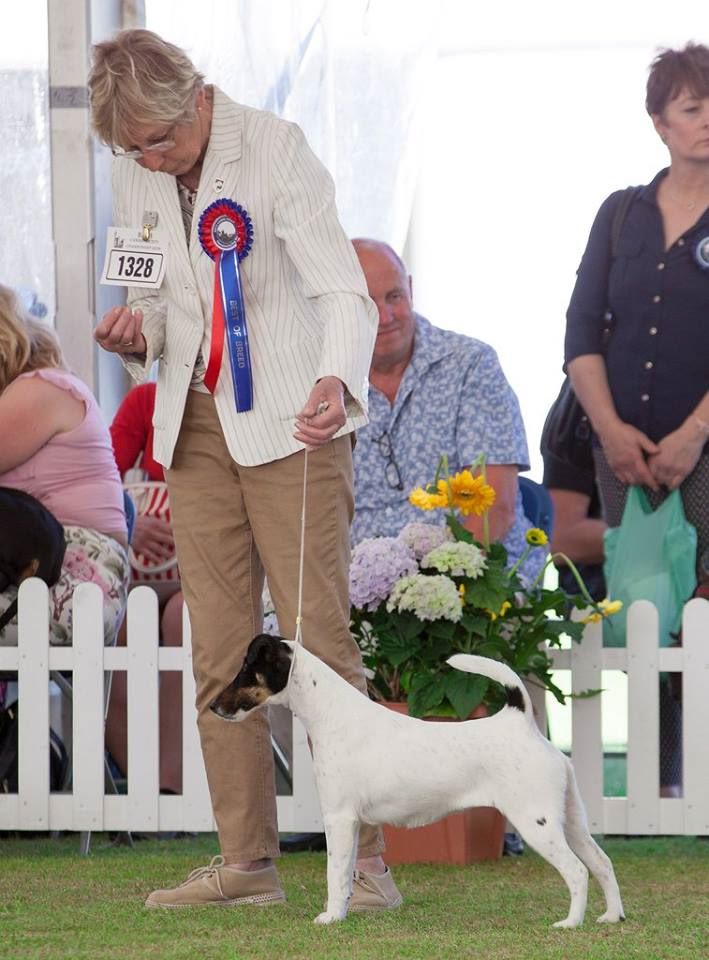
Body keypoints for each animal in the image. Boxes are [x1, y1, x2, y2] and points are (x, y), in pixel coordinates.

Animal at [210, 632, 624, 928]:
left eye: (246, 669)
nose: (212, 706)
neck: (330, 714)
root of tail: (520, 722)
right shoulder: (353, 823)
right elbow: (345, 875)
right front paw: (342, 914)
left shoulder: (339, 819)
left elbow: (334, 873)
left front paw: (330, 917)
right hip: (571, 821)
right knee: (602, 863)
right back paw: (611, 916)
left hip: (537, 823)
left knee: (577, 871)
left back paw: (570, 923)